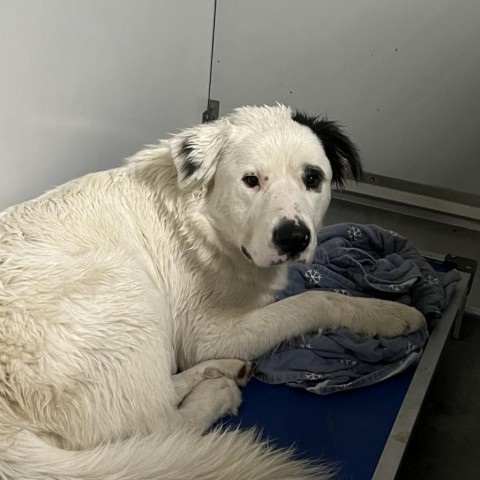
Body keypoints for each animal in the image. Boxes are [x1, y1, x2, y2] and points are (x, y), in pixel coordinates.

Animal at [0, 105, 424, 480]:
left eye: (313, 178)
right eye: (251, 180)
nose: (294, 238)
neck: (201, 223)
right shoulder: (207, 333)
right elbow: (316, 299)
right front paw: (388, 314)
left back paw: (220, 370)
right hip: (129, 287)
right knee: (164, 426)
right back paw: (217, 393)